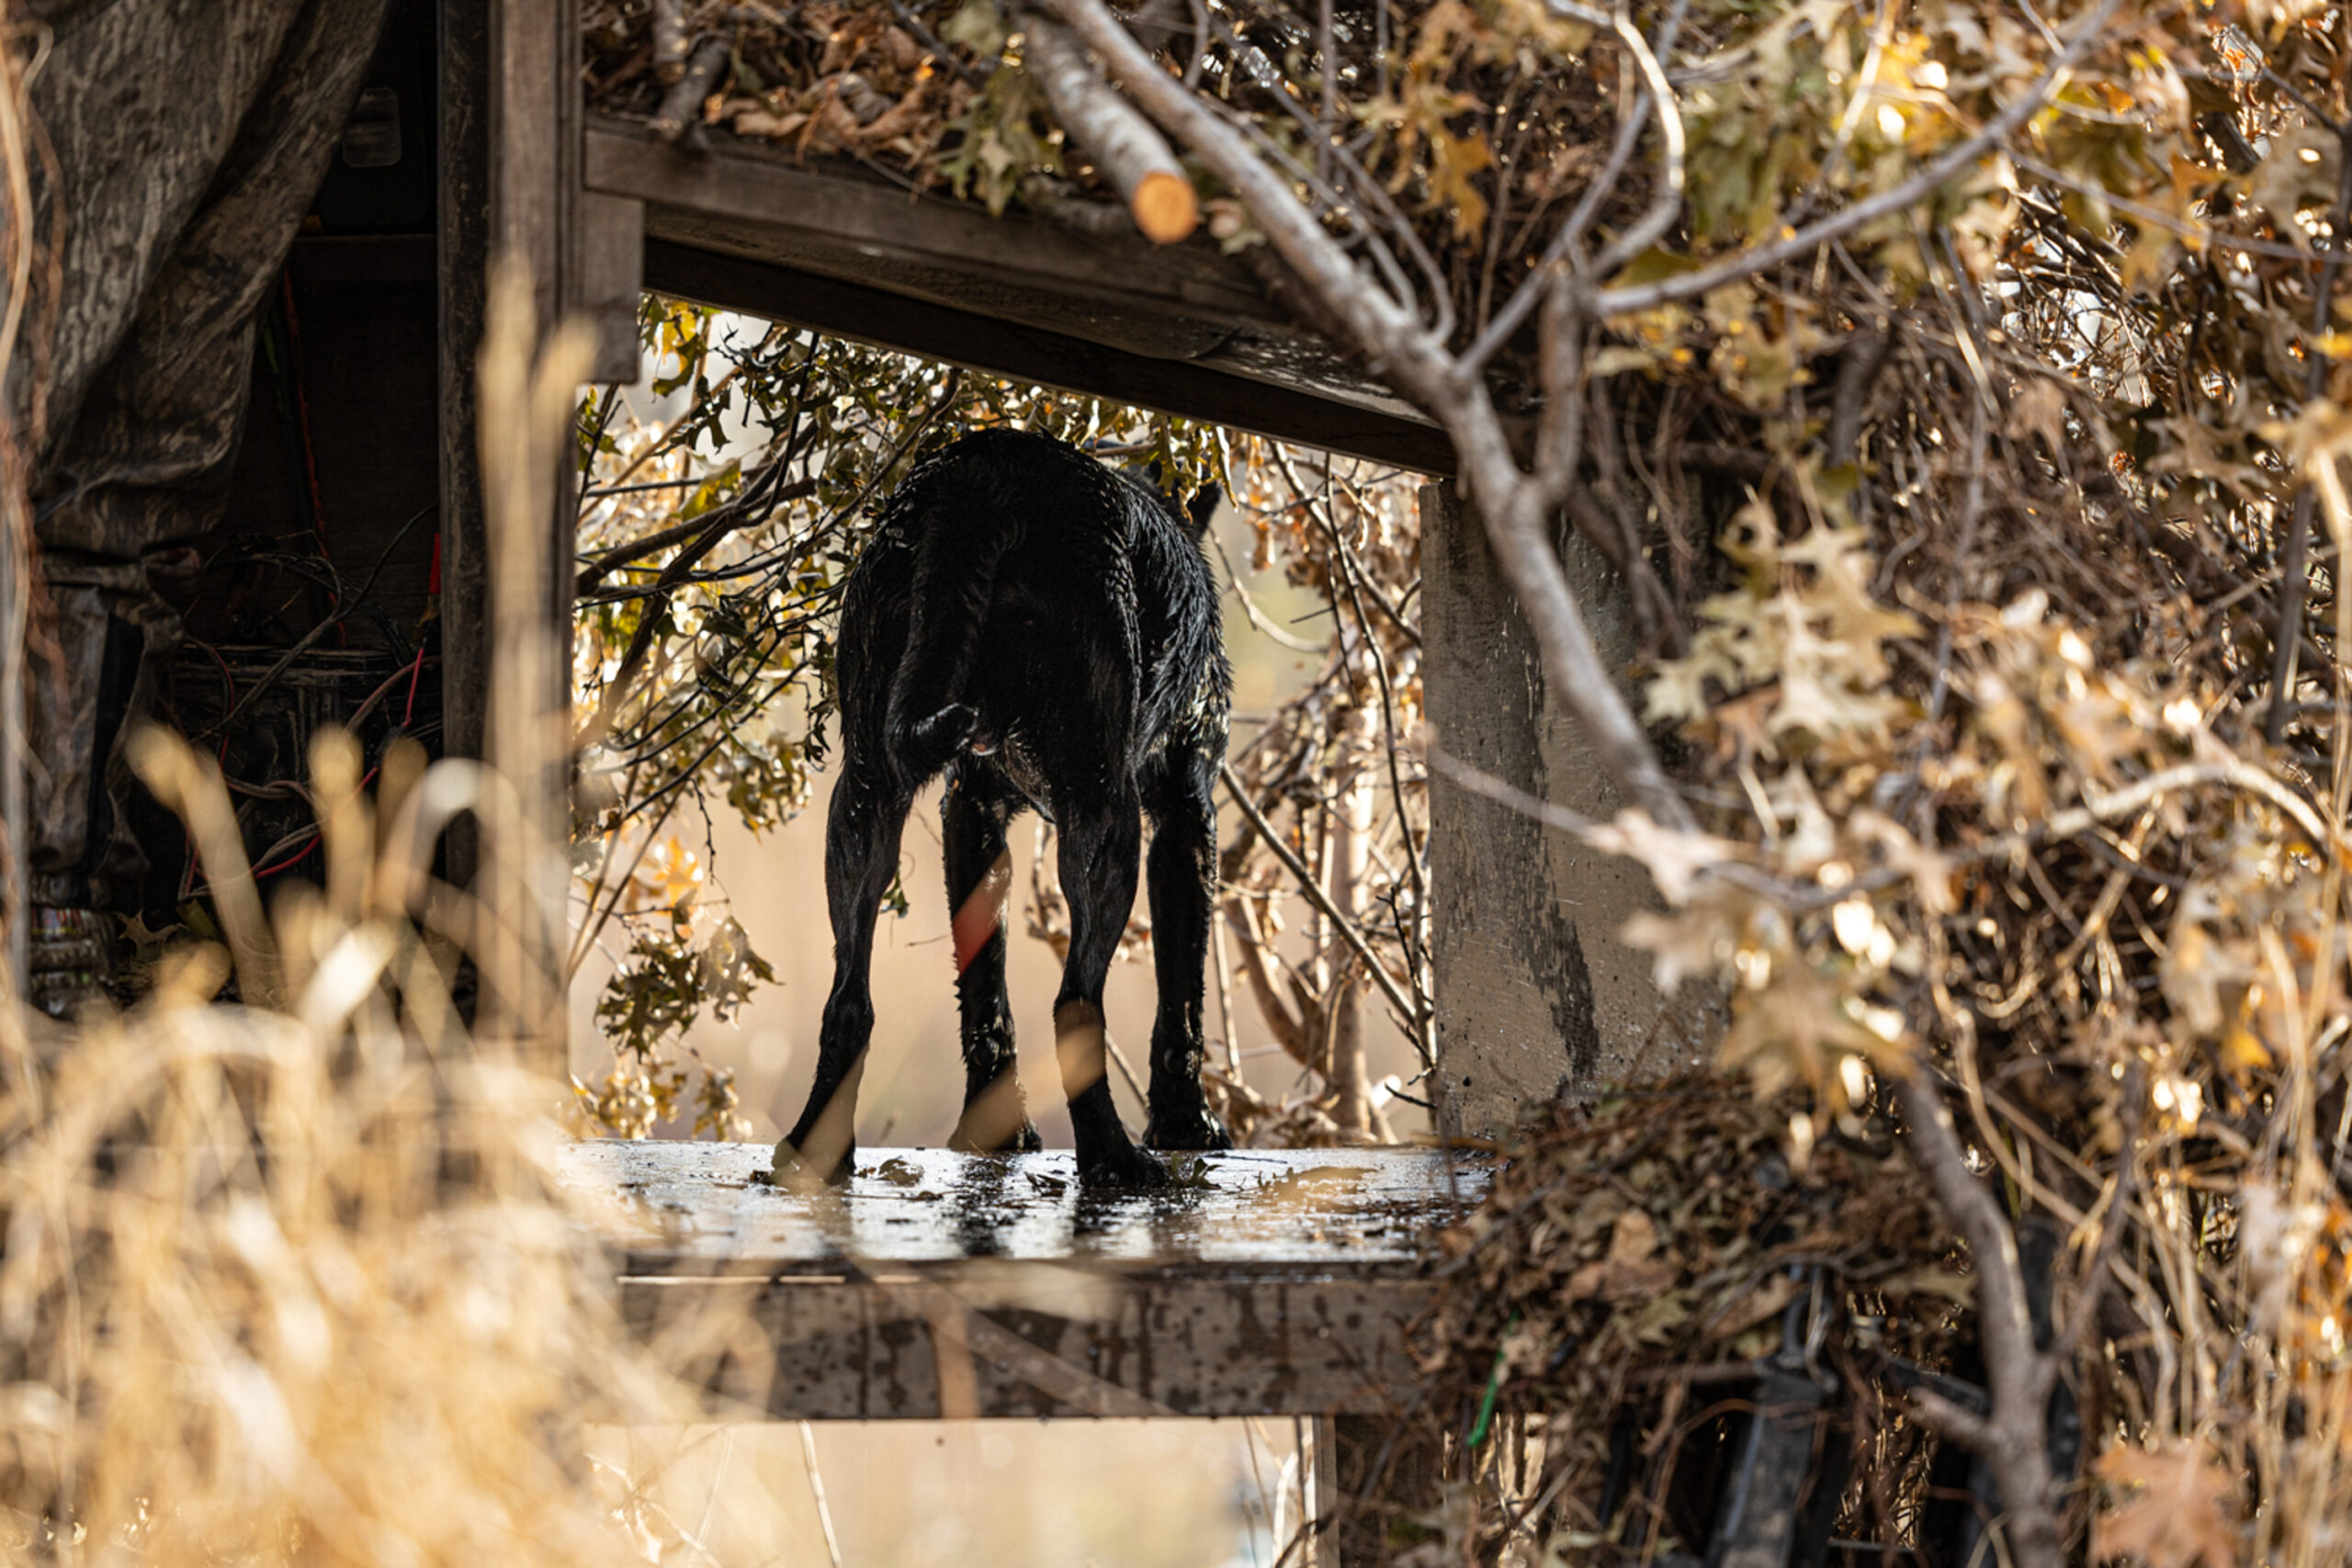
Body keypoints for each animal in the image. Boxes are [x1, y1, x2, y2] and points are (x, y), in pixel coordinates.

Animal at [780, 430, 1241, 1189]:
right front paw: (1186, 1123)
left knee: (848, 999)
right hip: (1104, 814)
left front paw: (990, 1135)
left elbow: (983, 990)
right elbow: (1183, 990)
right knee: (1075, 1000)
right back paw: (1115, 1158)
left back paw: (811, 1152)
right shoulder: (1184, 812)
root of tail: (984, 470)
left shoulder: (971, 810)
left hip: (865, 794)